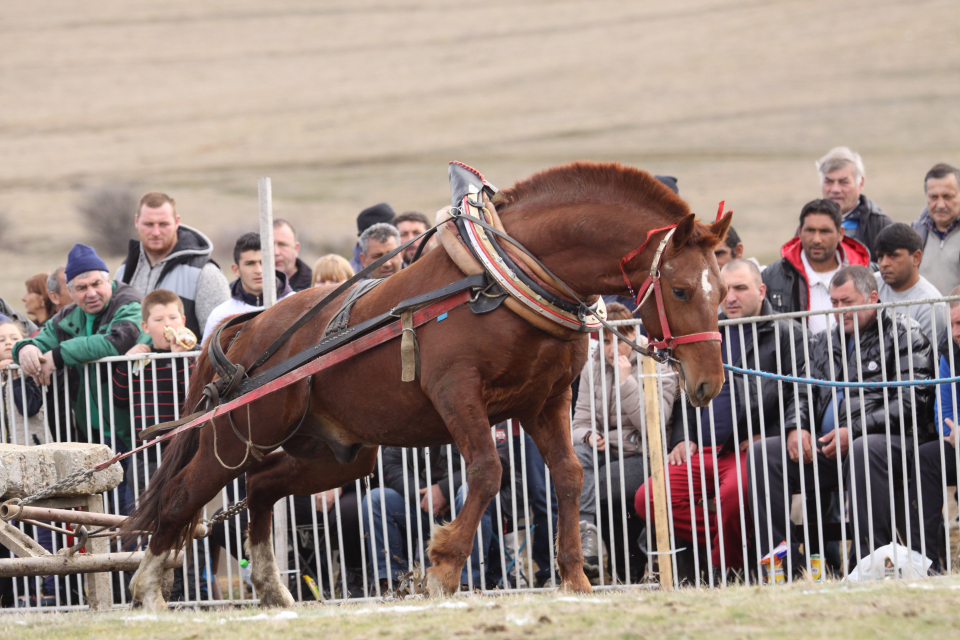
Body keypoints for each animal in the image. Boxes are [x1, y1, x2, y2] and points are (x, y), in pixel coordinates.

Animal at [125, 161, 728, 608]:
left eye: (720, 289)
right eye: (679, 289)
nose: (708, 384)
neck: (503, 277)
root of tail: (247, 326)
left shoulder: (546, 400)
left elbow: (570, 476)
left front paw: (575, 580)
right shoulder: (456, 391)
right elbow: (487, 471)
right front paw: (443, 567)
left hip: (338, 455)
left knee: (262, 487)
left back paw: (272, 589)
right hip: (238, 437)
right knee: (184, 495)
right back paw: (150, 588)